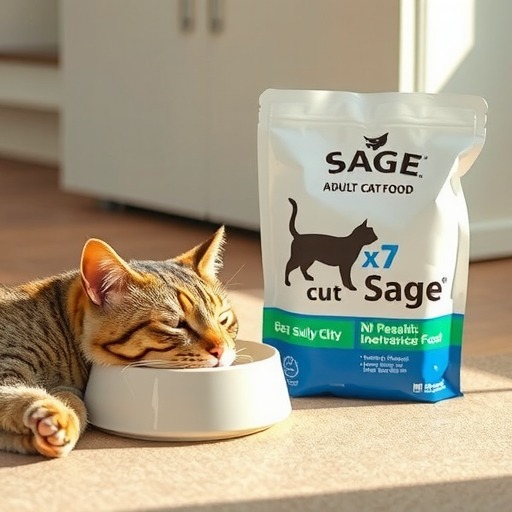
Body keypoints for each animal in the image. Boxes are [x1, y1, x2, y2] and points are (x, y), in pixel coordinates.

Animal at [0, 227, 238, 458]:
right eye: (176, 324)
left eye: (224, 319)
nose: (222, 349)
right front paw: (52, 415)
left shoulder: (68, 389)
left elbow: (75, 403)